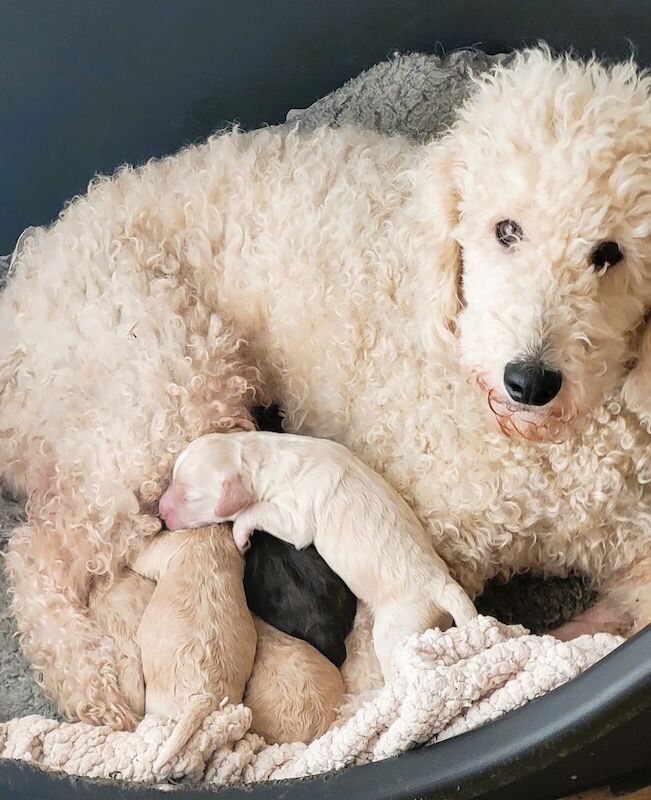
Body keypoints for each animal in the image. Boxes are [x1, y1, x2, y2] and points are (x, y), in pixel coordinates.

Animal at [162, 434, 478, 680]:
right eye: (171, 478)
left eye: (190, 498)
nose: (160, 512)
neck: (262, 455)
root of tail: (442, 584)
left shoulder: (294, 518)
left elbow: (255, 512)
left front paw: (241, 537)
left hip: (398, 628)